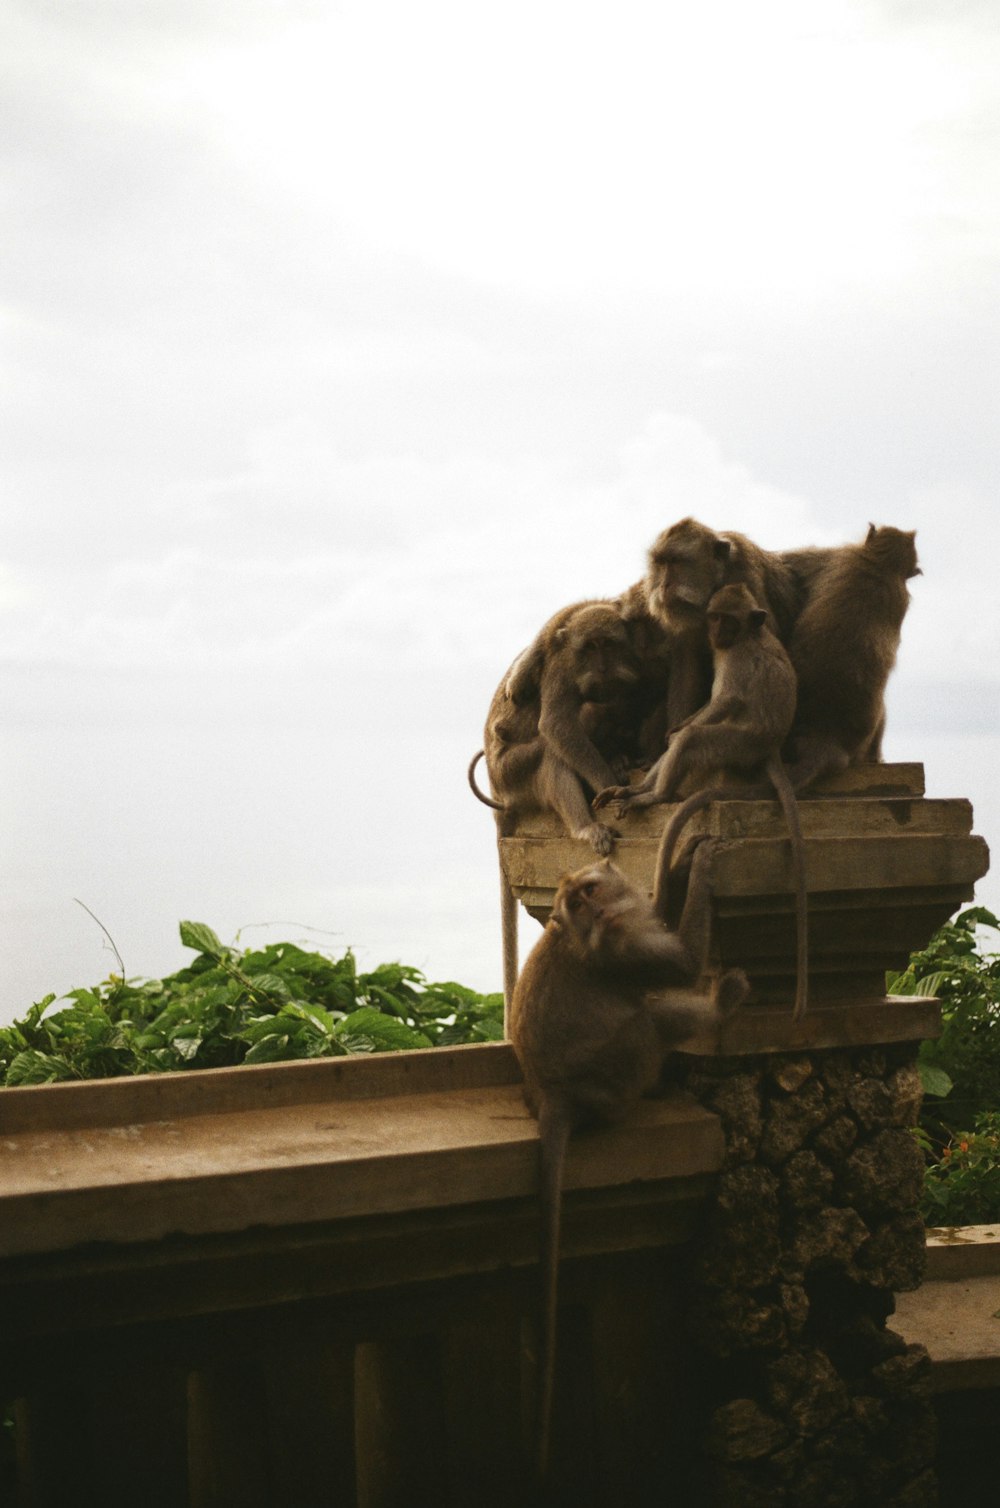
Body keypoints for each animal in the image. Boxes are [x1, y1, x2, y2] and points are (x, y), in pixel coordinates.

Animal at [509, 838, 751, 1483]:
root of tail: (552, 1097)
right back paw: (717, 1014)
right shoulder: (622, 953)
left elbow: (661, 918)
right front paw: (705, 870)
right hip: (619, 1072)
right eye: (575, 905)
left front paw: (681, 862)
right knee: (647, 1016)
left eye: (588, 891)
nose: (596, 913)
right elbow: (684, 965)